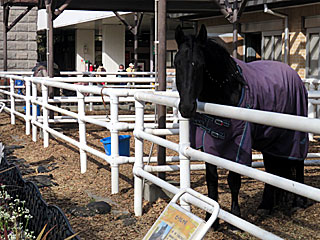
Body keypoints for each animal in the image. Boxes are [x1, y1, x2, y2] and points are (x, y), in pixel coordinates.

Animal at [174, 24, 308, 229]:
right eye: (177, 63)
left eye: (201, 65)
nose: (186, 108)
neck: (227, 89)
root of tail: (295, 76)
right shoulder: (209, 144)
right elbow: (212, 179)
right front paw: (211, 219)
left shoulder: (238, 143)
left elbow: (234, 179)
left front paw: (235, 218)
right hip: (270, 139)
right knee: (272, 169)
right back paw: (266, 206)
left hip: (294, 134)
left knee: (298, 161)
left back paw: (299, 202)